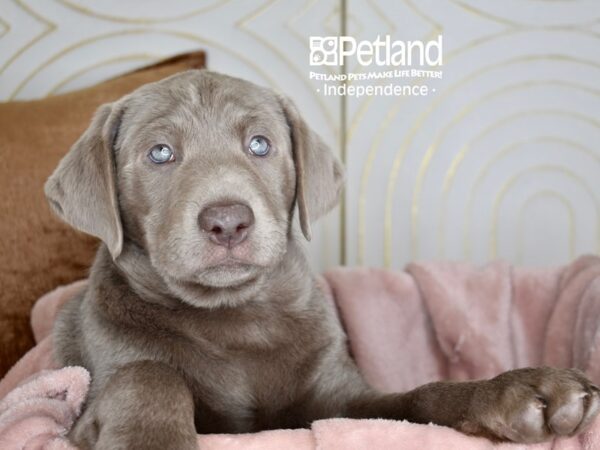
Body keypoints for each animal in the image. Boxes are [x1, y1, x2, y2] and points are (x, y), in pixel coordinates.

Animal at [43, 70, 600, 450]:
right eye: (160, 153)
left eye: (260, 144)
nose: (227, 221)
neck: (236, 318)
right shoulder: (97, 390)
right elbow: (149, 375)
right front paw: (150, 439)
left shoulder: (340, 400)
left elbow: (419, 398)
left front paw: (523, 389)